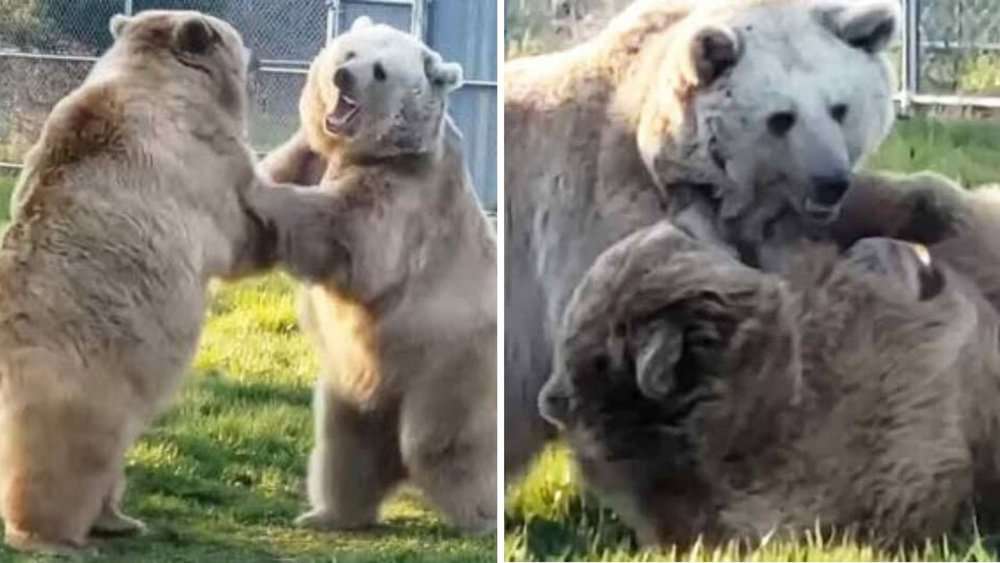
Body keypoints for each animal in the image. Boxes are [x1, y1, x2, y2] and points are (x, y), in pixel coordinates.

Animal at [0, 10, 349, 554]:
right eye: (233, 37)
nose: (258, 57)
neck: (161, 80)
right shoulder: (201, 159)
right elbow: (245, 228)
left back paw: (118, 519)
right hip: (77, 385)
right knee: (63, 460)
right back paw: (53, 536)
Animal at [256, 17, 497, 534]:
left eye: (381, 71)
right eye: (348, 53)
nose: (343, 77)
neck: (368, 152)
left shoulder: (407, 194)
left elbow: (347, 235)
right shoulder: (310, 154)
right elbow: (278, 168)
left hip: (449, 365)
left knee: (444, 446)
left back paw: (480, 516)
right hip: (356, 379)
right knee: (346, 443)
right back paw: (328, 513)